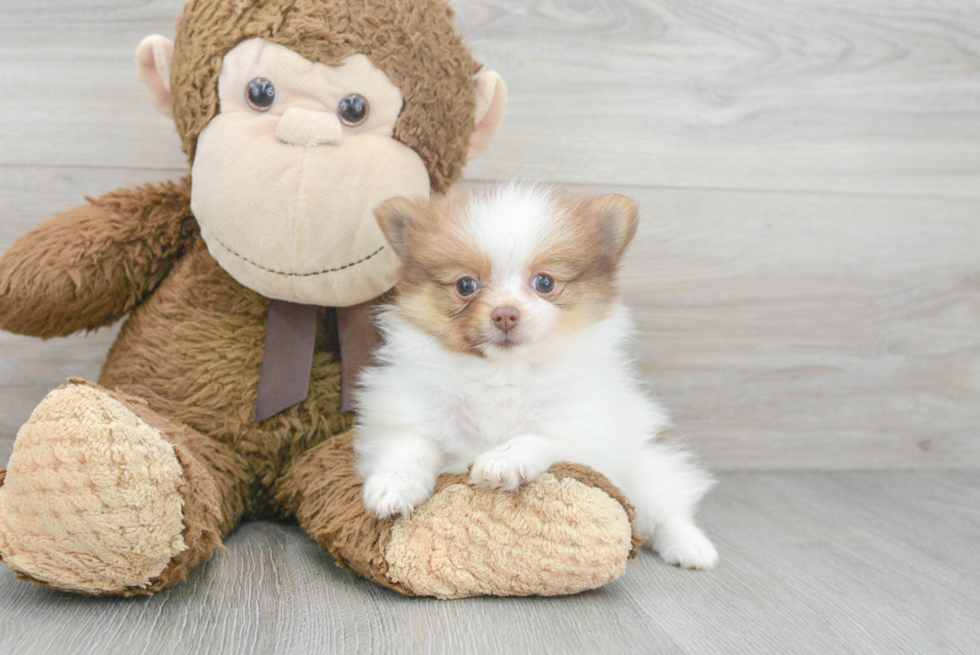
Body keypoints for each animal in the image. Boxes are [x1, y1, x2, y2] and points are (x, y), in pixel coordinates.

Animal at [356, 183, 716, 568]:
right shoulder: (410, 410)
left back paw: (690, 547)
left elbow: (539, 438)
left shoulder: (583, 428)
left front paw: (503, 460)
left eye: (544, 282)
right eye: (465, 286)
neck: (503, 371)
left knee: (668, 509)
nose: (505, 314)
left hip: (650, 467)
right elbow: (409, 447)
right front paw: (394, 486)